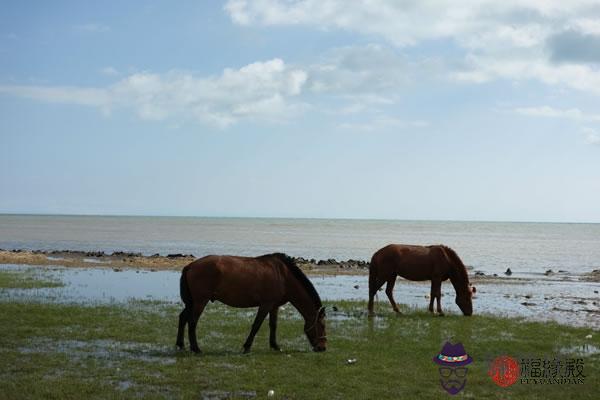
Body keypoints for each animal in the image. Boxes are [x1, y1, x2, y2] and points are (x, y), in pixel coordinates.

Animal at [177, 253, 328, 354]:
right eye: (322, 325)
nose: (322, 347)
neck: (283, 276)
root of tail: (190, 266)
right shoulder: (266, 305)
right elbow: (256, 325)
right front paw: (247, 347)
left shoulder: (274, 306)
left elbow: (273, 325)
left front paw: (275, 345)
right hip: (200, 302)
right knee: (192, 322)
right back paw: (195, 348)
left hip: (191, 303)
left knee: (183, 318)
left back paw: (180, 345)